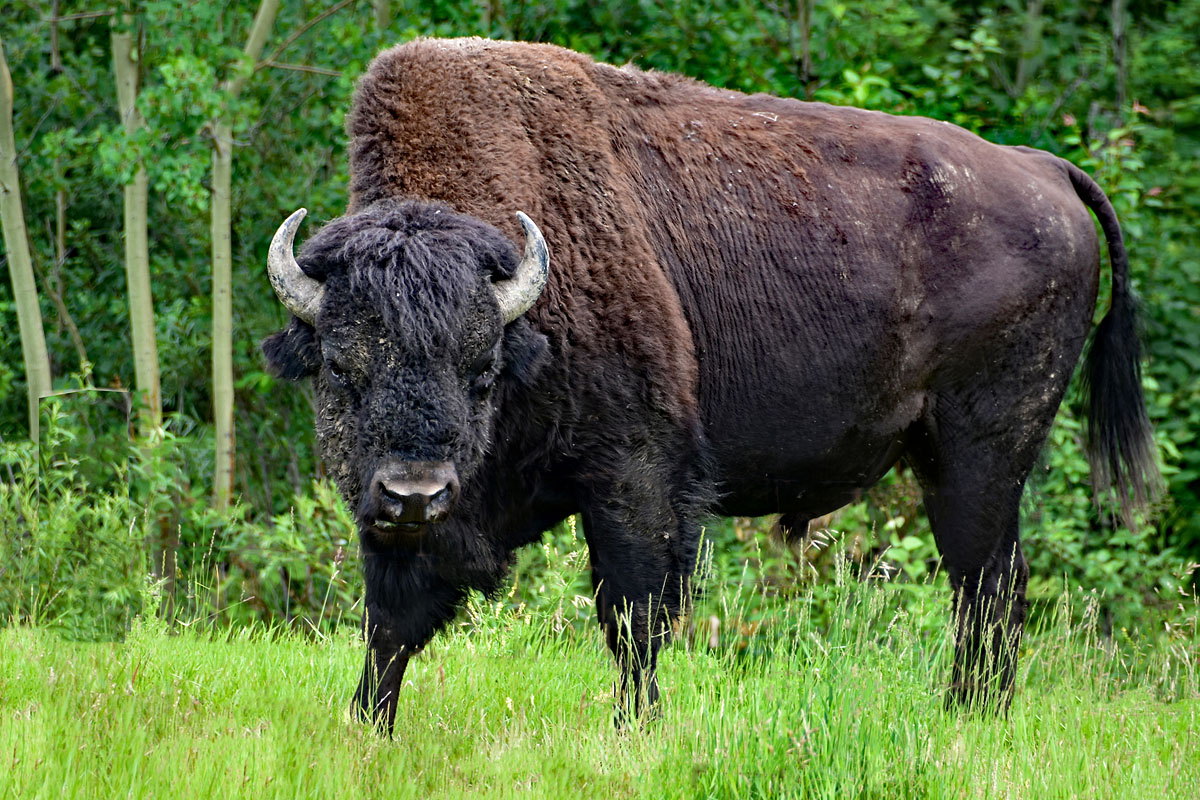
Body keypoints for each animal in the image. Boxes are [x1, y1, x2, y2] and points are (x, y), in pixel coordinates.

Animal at [262, 38, 1158, 730]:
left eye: (482, 371)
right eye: (340, 368)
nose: (415, 492)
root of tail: (1044, 169)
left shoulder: (635, 471)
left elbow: (633, 616)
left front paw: (636, 729)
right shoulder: (393, 521)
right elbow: (391, 623)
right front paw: (367, 729)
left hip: (980, 454)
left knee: (987, 586)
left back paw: (969, 715)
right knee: (995, 587)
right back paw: (970, 715)